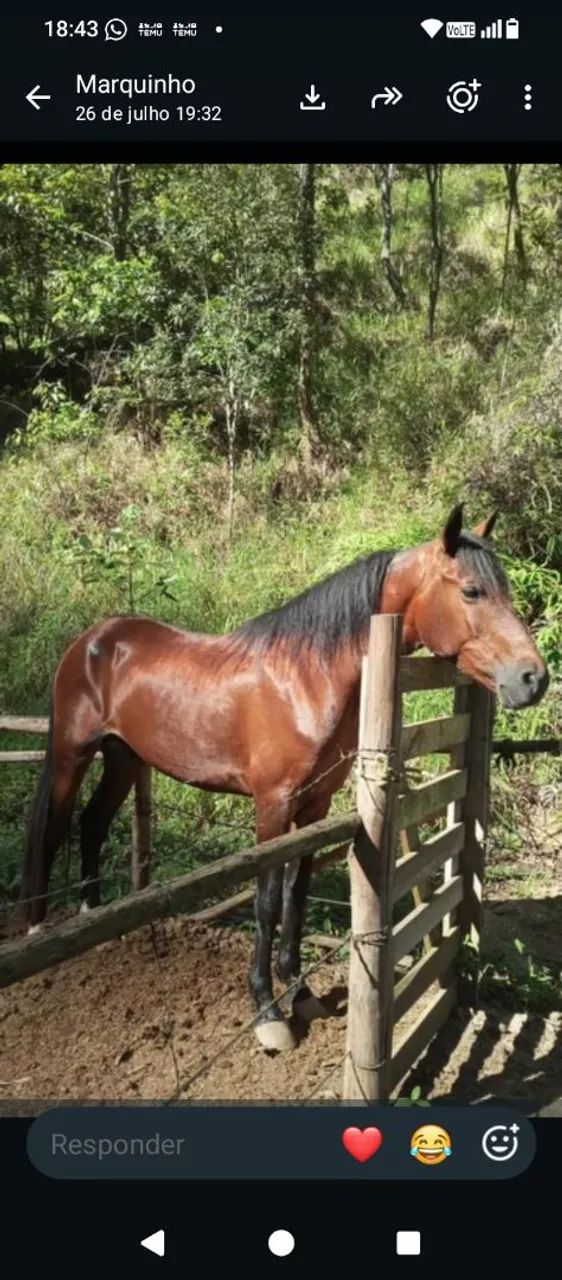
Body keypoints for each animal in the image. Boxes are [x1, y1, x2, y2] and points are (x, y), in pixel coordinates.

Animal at [22, 503, 548, 1049]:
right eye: (471, 590)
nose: (533, 678)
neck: (307, 678)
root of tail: (92, 640)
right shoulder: (271, 807)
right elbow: (268, 902)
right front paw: (267, 1012)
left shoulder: (314, 806)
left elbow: (297, 896)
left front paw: (300, 990)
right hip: (72, 754)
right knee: (53, 829)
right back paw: (40, 936)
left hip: (123, 757)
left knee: (93, 823)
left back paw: (96, 921)